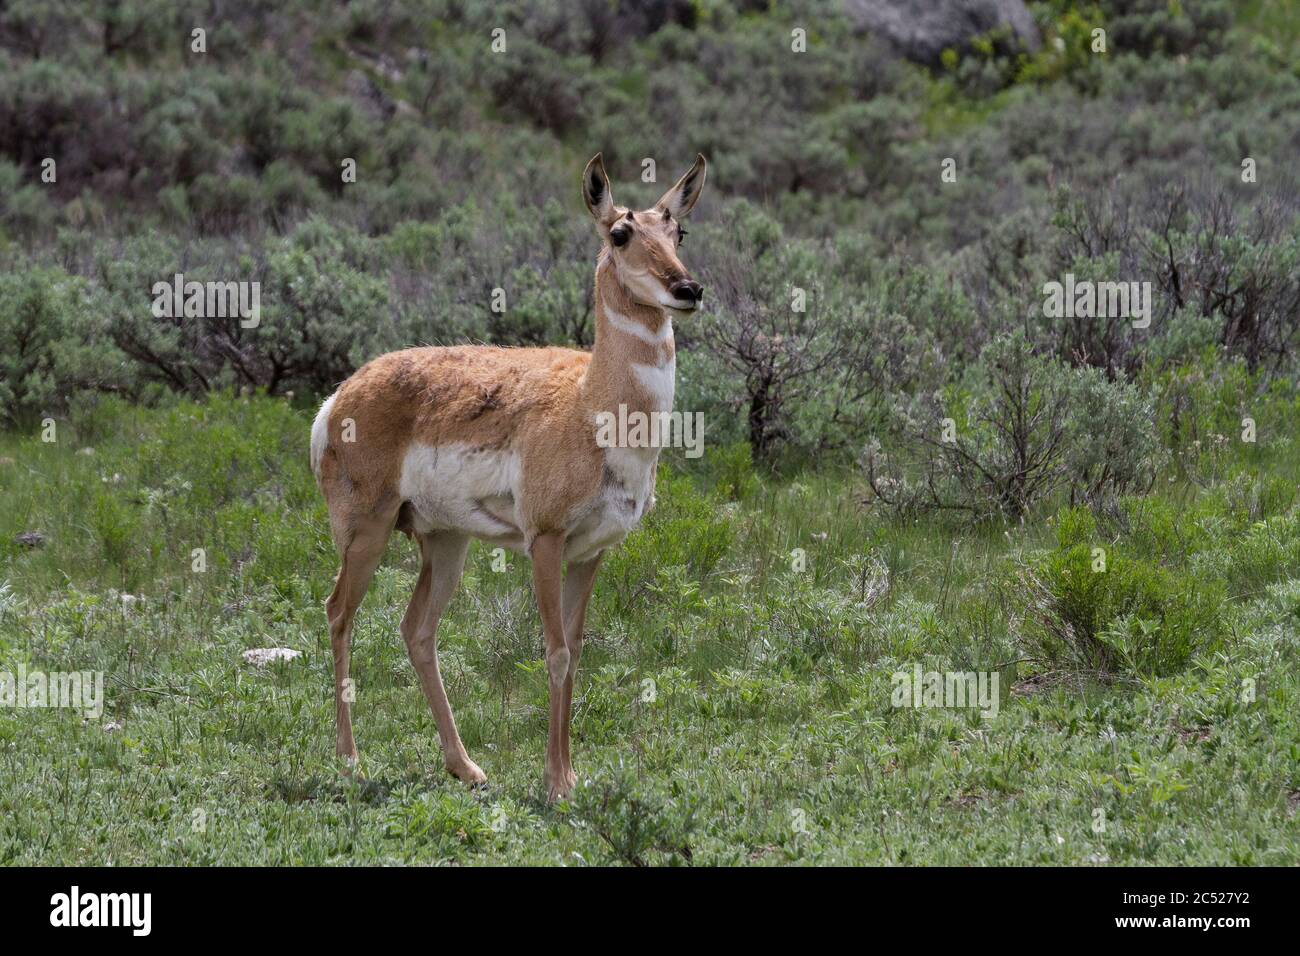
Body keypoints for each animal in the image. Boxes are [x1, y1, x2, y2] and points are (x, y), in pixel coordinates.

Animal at [309, 153, 707, 806]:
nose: (688, 290)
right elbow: (555, 651)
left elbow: (577, 650)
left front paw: (570, 775)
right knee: (339, 613)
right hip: (366, 533)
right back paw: (349, 761)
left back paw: (466, 767)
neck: (590, 404)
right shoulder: (544, 542)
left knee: (416, 630)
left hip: (446, 543)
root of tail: (341, 393)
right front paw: (555, 782)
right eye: (620, 233)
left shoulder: (590, 553)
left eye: (679, 231)